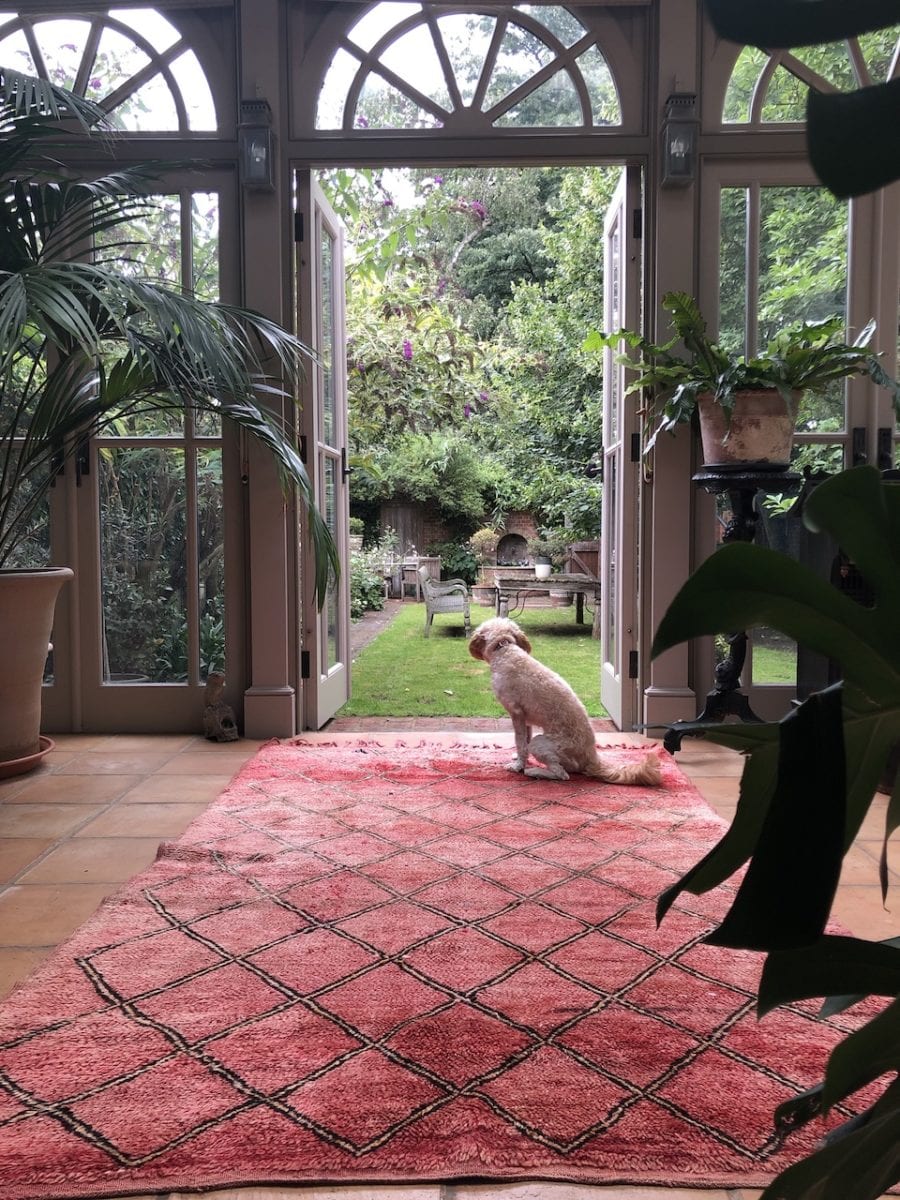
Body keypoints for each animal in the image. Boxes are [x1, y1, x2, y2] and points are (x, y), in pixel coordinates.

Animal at [472, 619, 662, 787]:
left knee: (562, 774)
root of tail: (592, 757)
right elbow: (524, 741)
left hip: (542, 744)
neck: (505, 649)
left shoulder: (516, 714)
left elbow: (521, 743)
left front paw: (519, 765)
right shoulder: (525, 719)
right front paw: (520, 759)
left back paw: (535, 772)